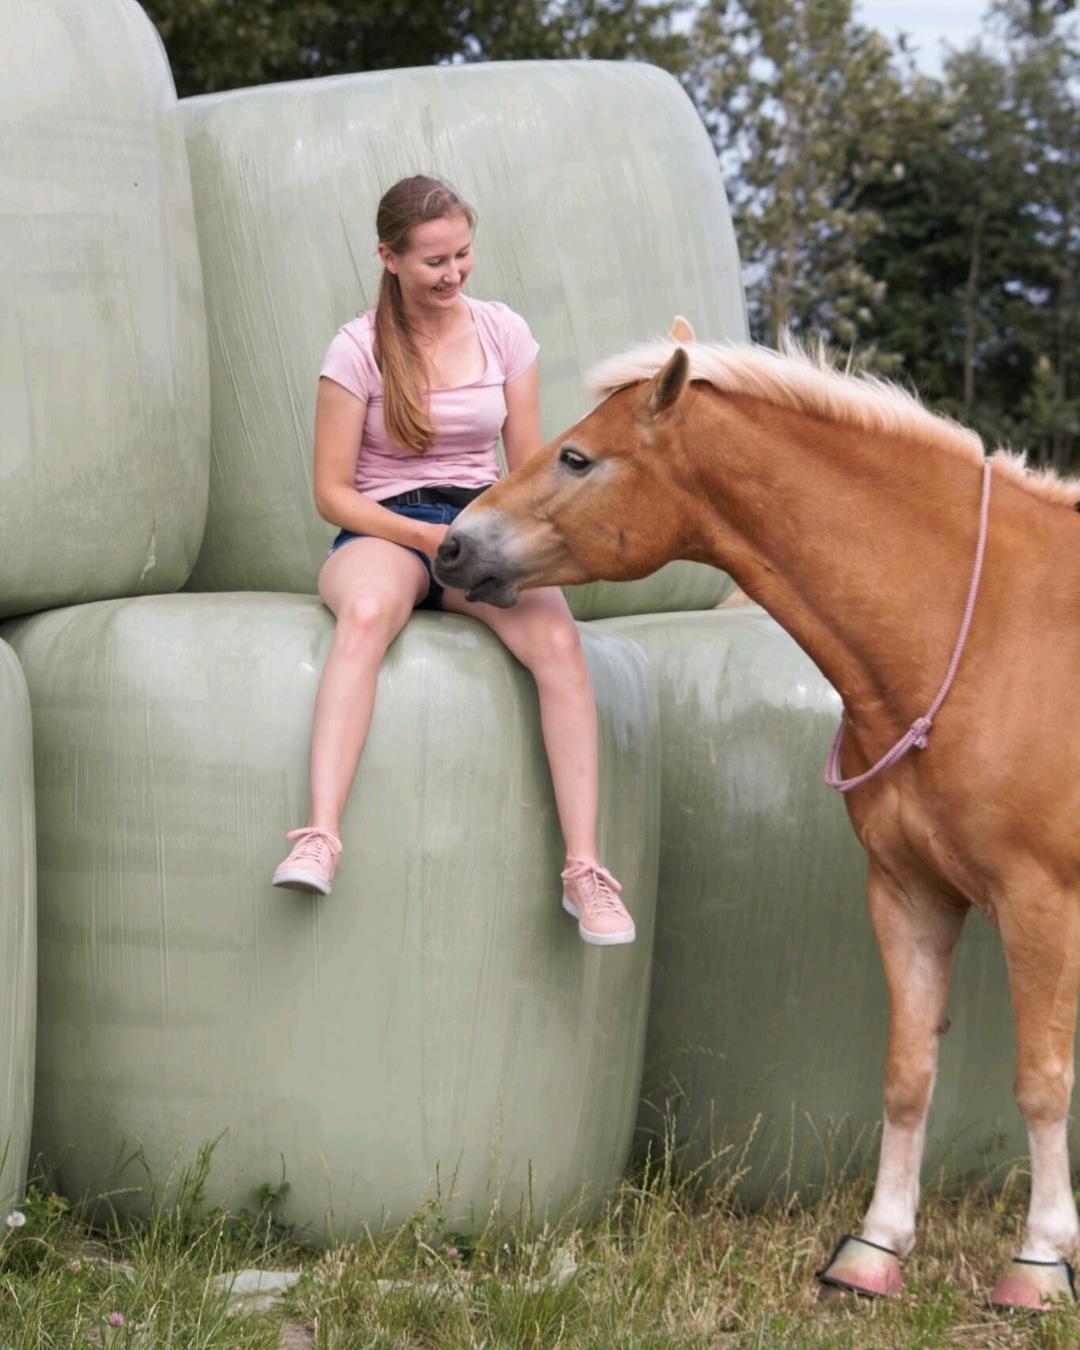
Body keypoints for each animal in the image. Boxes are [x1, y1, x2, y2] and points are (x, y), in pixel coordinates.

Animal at [434, 315, 1080, 1306]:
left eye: (577, 457)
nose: (454, 548)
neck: (991, 633)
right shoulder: (911, 895)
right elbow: (907, 1074)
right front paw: (875, 1250)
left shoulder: (1041, 902)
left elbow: (1042, 1079)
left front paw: (1040, 1261)